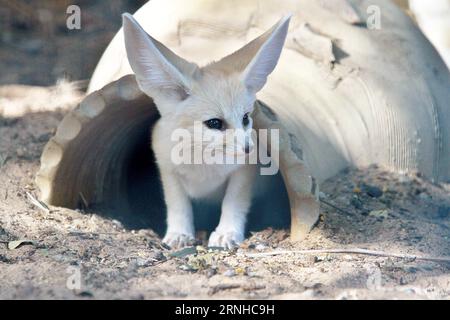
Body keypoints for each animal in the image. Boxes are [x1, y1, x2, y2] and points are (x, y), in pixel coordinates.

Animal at [122, 13, 292, 249]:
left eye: (245, 118)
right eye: (214, 123)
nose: (249, 148)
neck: (202, 162)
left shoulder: (244, 171)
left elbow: (233, 202)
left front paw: (227, 232)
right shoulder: (168, 169)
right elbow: (178, 205)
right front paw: (179, 233)